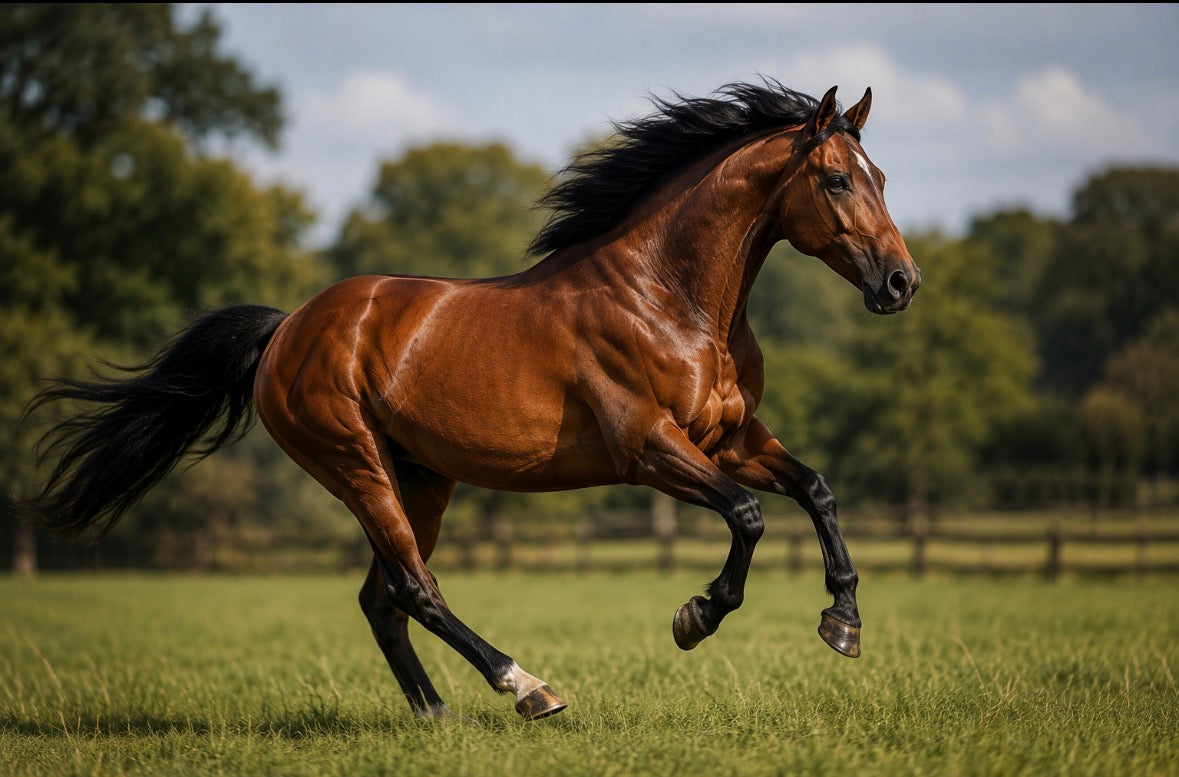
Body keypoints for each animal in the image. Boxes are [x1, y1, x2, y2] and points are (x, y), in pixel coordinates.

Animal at [25, 80, 920, 721]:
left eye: (881, 176)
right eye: (835, 180)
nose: (900, 283)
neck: (670, 297)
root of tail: (286, 328)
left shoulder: (731, 436)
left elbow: (814, 489)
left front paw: (842, 622)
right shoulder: (648, 445)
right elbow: (748, 515)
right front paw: (694, 616)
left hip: (420, 477)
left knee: (381, 598)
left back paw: (436, 718)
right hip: (355, 465)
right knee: (415, 589)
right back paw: (528, 687)